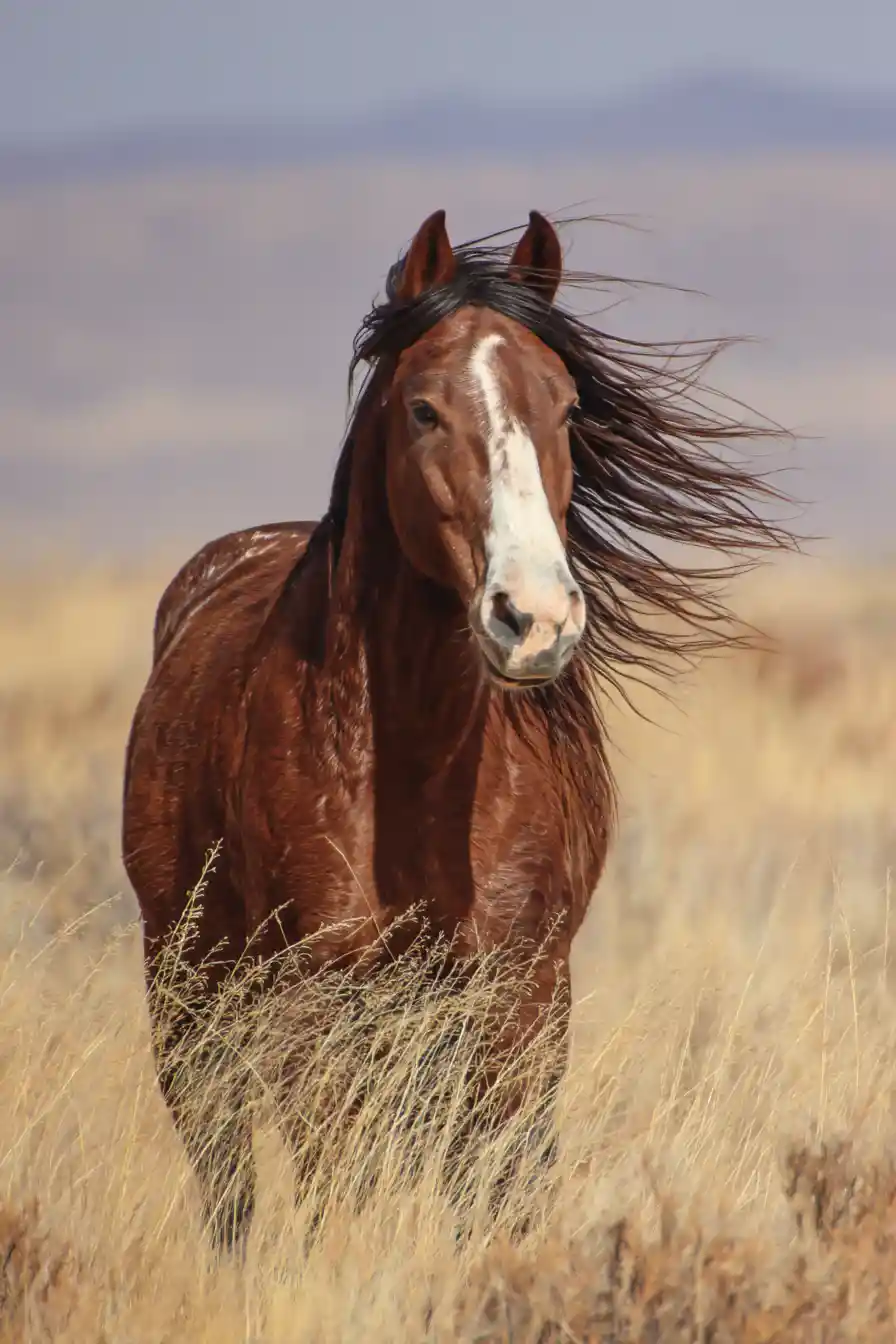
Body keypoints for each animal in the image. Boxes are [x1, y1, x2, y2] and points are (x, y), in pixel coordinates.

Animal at [122, 208, 793, 1251]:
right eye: (424, 410)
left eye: (567, 407)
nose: (536, 618)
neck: (418, 770)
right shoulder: (325, 1001)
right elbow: (336, 1190)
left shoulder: (522, 996)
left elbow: (500, 1196)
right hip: (188, 986)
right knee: (229, 1182)